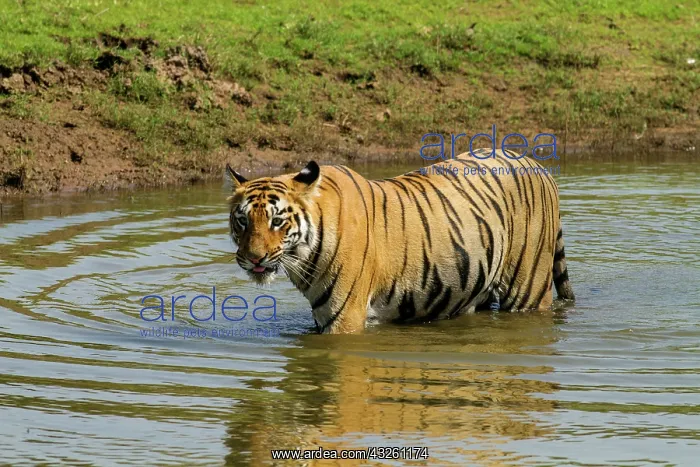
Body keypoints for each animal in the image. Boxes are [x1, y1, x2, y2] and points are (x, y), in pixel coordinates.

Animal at [226, 148, 575, 334]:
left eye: (277, 221)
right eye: (242, 221)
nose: (253, 258)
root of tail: (537, 165)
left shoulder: (344, 318)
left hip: (527, 289)